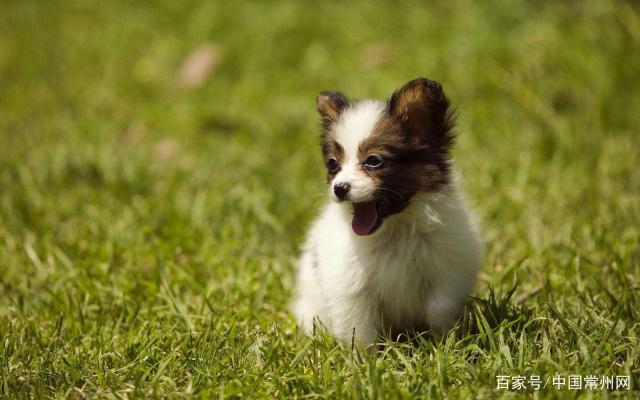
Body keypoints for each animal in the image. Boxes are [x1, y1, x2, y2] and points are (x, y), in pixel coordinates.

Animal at [292, 77, 482, 346]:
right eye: (332, 164)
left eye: (373, 161)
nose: (339, 188)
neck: (394, 230)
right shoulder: (352, 290)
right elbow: (361, 330)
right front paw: (364, 357)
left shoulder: (448, 272)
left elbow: (440, 309)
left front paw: (444, 344)